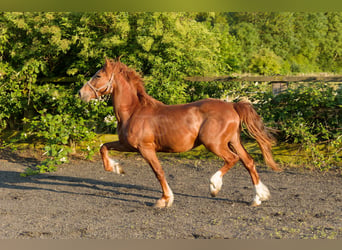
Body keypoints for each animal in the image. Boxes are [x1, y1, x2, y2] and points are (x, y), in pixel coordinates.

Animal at [79, 59, 280, 209]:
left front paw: (164, 200)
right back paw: (258, 198)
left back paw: (214, 186)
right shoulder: (126, 145)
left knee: (233, 159)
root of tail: (232, 105)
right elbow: (103, 147)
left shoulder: (145, 148)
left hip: (214, 143)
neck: (134, 111)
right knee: (248, 162)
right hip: (233, 141)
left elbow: (158, 172)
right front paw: (116, 168)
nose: (81, 93)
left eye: (98, 75)